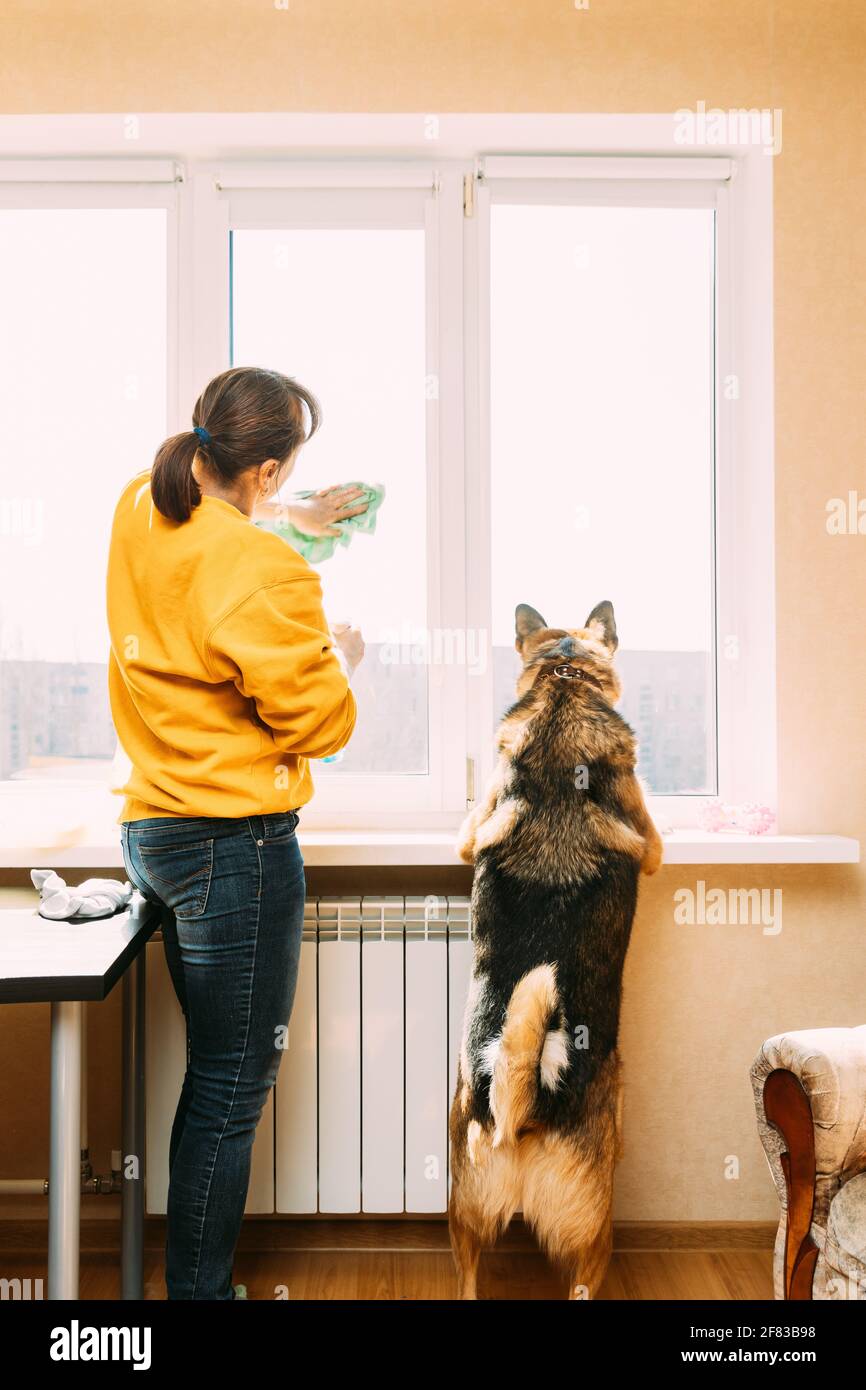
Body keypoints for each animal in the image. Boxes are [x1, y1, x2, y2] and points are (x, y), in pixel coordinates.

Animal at [447, 603, 664, 1295]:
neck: (565, 684)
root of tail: (529, 1098)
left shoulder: (470, 832)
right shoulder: (653, 845)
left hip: (462, 1212)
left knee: (466, 1277)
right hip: (595, 1228)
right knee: (583, 1280)